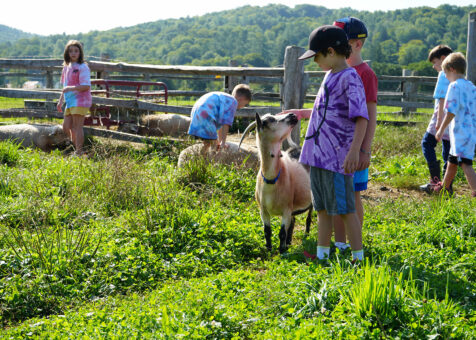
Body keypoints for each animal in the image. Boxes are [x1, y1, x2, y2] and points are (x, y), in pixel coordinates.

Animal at [238, 113, 312, 254]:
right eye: (268, 121)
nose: (293, 115)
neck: (271, 181)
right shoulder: (263, 210)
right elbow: (267, 231)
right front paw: (269, 248)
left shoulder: (286, 209)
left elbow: (282, 232)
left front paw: (282, 251)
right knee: (293, 222)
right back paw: (289, 243)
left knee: (309, 218)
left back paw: (306, 236)